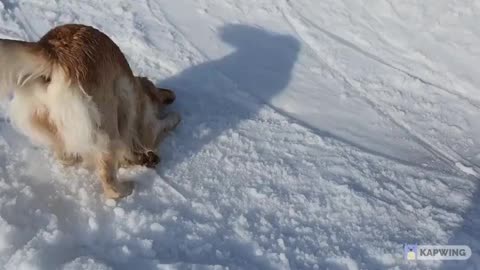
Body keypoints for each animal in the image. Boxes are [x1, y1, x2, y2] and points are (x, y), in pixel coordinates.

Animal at [0, 23, 181, 198]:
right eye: (158, 90)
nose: (172, 94)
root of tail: (53, 52)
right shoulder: (146, 124)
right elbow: (162, 124)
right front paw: (174, 117)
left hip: (46, 122)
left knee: (64, 156)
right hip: (107, 125)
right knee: (109, 181)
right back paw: (125, 189)